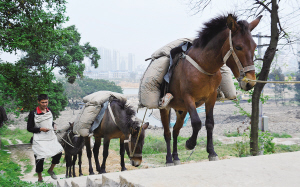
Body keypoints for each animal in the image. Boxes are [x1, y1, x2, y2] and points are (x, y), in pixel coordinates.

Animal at [161, 13, 262, 165]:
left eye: (255, 46)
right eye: (238, 47)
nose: (250, 82)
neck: (204, 66)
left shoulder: (211, 97)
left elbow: (210, 123)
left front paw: (212, 152)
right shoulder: (188, 98)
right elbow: (197, 122)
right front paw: (190, 143)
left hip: (181, 110)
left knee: (175, 130)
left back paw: (176, 157)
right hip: (165, 108)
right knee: (167, 133)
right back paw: (169, 159)